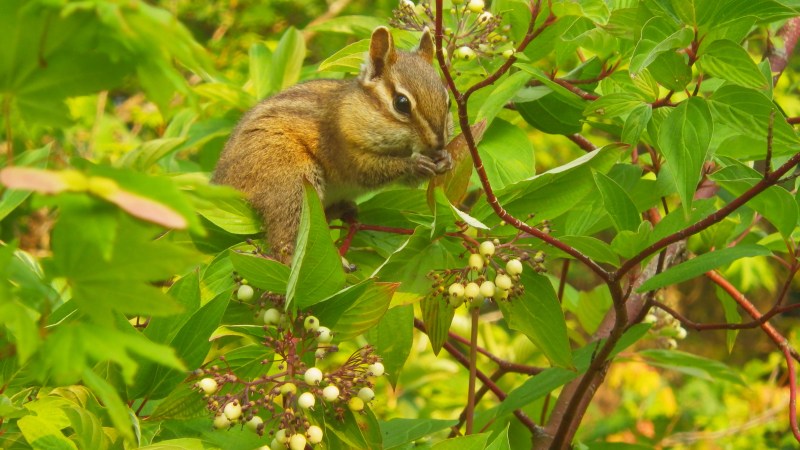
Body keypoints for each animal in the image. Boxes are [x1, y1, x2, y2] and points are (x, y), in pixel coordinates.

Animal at [213, 26, 453, 263]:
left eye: (449, 101)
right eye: (401, 103)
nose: (439, 143)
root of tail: (220, 184)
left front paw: (445, 160)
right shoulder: (343, 149)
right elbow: (367, 171)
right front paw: (415, 164)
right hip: (288, 178)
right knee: (285, 239)